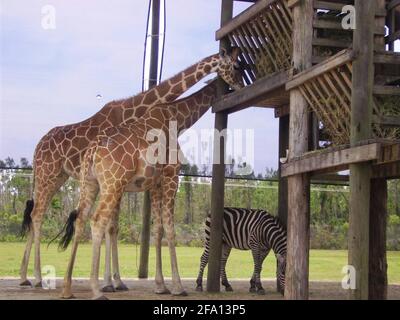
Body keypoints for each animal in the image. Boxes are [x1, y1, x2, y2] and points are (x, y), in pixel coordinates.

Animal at [19, 48, 244, 288]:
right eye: (236, 66)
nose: (240, 85)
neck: (135, 110)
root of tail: (37, 147)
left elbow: (113, 227)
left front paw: (113, 281)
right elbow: (111, 226)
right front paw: (110, 282)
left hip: (56, 177)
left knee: (34, 214)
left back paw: (26, 277)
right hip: (48, 174)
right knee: (38, 215)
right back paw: (38, 277)